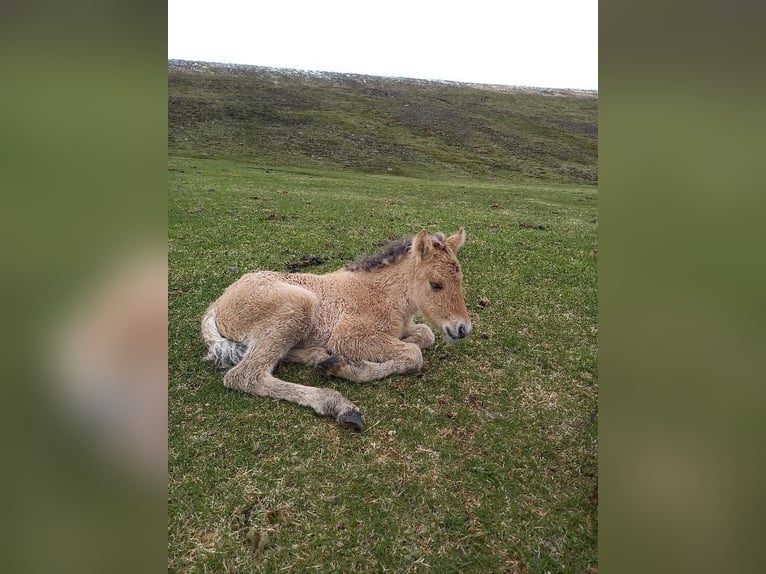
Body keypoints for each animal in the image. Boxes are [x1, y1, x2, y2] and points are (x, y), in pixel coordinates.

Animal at [201, 228, 472, 431]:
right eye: (435, 284)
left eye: (460, 280)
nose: (462, 329)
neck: (384, 294)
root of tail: (217, 305)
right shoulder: (348, 336)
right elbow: (414, 354)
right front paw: (349, 368)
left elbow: (425, 335)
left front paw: (338, 363)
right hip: (296, 307)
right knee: (245, 375)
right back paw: (339, 404)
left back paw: (318, 356)